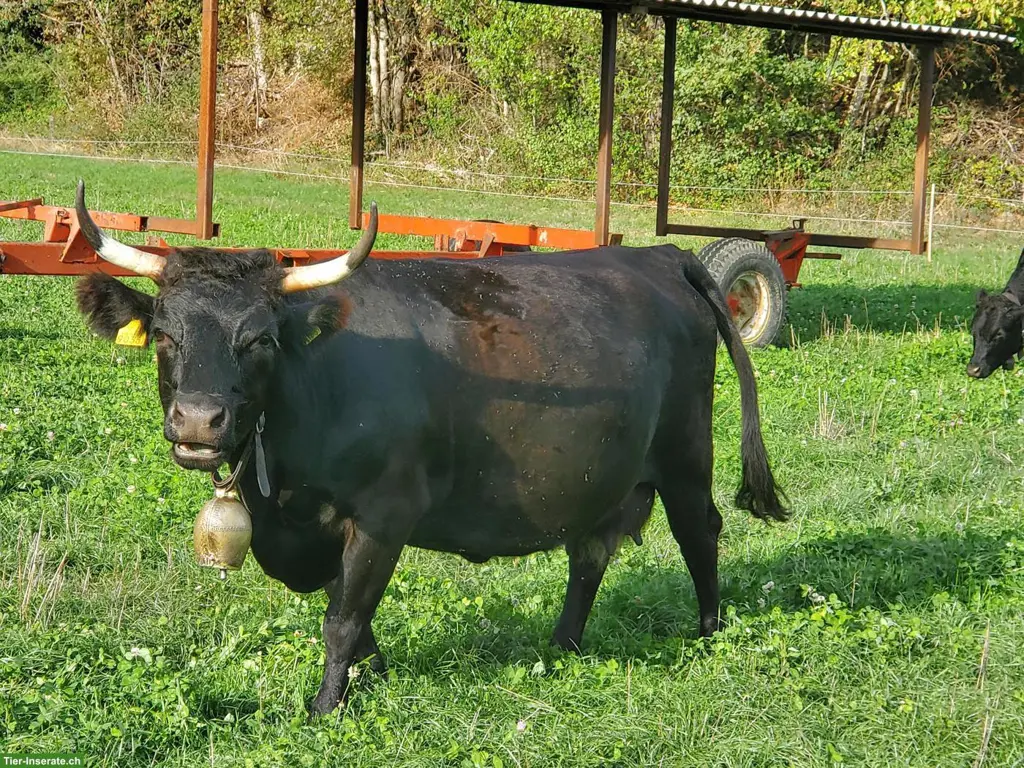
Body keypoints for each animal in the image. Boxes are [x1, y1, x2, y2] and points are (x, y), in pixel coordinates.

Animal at [71, 180, 787, 715]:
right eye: (164, 334)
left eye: (260, 340)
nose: (198, 420)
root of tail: (659, 255)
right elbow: (348, 612)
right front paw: (376, 673)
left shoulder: (385, 514)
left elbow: (343, 617)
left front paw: (325, 706)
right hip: (606, 474)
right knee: (589, 554)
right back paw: (562, 646)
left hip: (686, 455)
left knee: (700, 532)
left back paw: (709, 632)